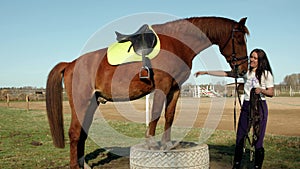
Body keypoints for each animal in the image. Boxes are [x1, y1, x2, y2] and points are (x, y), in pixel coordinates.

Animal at [45, 16, 250, 168]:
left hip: (92, 103)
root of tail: (70, 65)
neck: (176, 44)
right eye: (239, 39)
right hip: (81, 102)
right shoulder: (162, 86)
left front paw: (166, 144)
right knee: (74, 133)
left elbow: (169, 115)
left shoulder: (175, 89)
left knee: (82, 133)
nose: (243, 69)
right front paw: (151, 144)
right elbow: (156, 114)